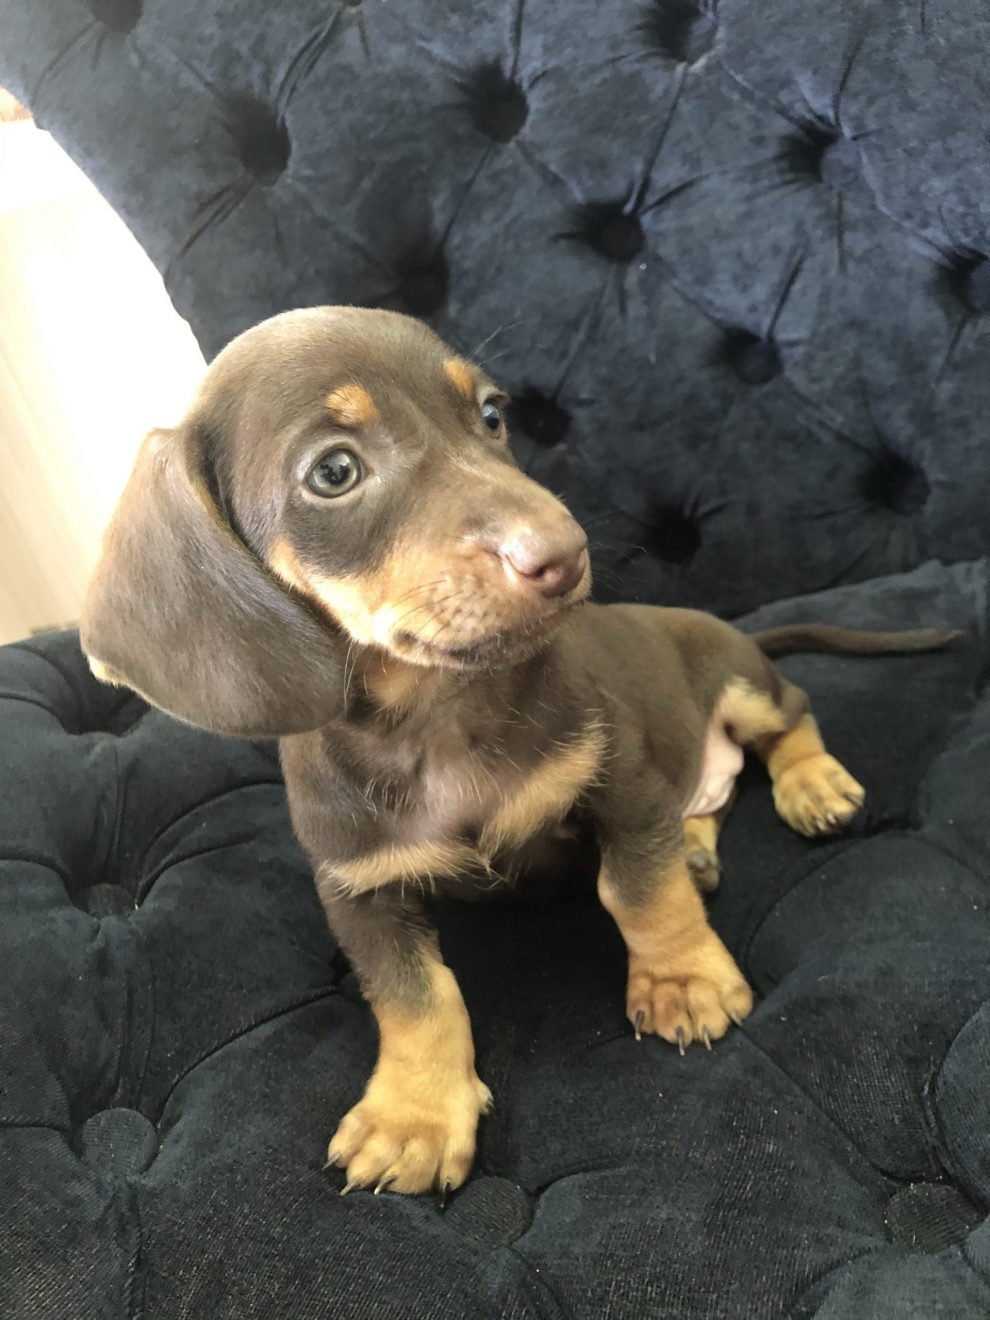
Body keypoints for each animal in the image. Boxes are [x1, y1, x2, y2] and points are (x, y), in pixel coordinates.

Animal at [80, 306, 957, 1202]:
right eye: (334, 471)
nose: (566, 553)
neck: (438, 716)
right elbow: (415, 995)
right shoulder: (355, 888)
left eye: (493, 415)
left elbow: (638, 893)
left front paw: (683, 977)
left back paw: (811, 784)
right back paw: (698, 848)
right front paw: (416, 1114)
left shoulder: (624, 786)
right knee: (708, 796)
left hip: (740, 681)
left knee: (789, 718)